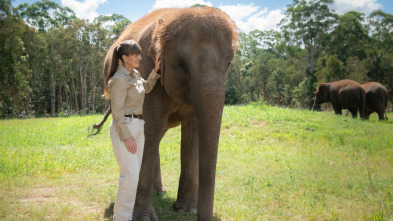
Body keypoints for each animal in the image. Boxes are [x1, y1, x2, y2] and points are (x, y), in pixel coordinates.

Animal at [94, 6, 239, 221]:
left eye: (228, 63)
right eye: (181, 65)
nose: (200, 215)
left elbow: (192, 133)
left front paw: (187, 210)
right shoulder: (145, 71)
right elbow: (150, 130)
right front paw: (145, 217)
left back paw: (160, 192)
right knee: (152, 136)